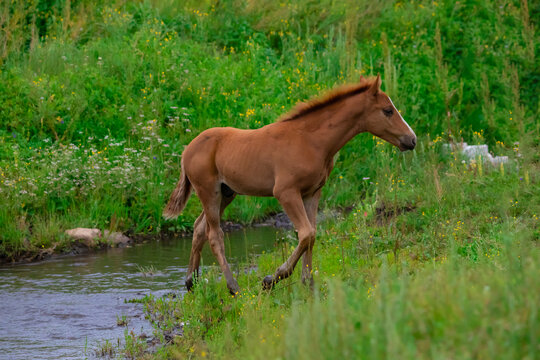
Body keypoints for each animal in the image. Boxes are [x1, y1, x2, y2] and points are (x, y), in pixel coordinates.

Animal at [162, 74, 416, 294]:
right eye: (387, 110)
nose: (411, 139)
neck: (312, 141)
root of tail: (186, 150)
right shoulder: (285, 192)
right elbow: (305, 233)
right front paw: (272, 279)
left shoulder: (312, 193)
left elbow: (312, 234)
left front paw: (308, 283)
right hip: (209, 191)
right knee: (214, 235)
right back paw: (233, 288)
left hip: (227, 193)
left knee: (199, 228)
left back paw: (191, 282)